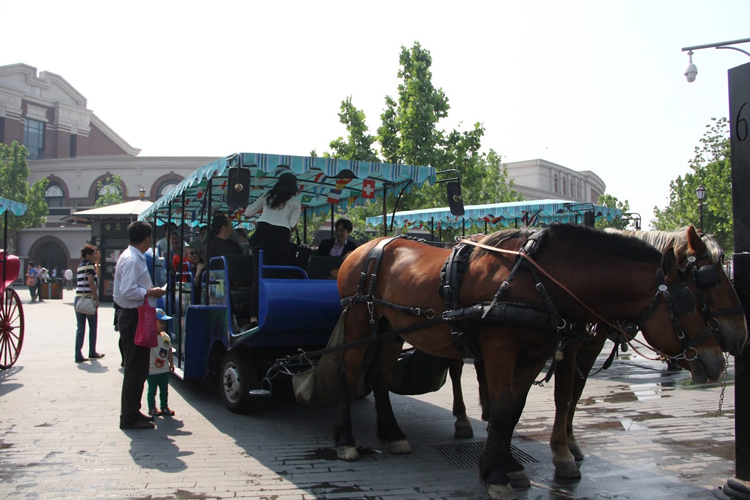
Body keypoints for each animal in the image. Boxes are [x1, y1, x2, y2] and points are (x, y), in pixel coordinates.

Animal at [334, 226, 728, 500]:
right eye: (692, 302)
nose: (718, 362)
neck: (539, 282)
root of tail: (367, 247)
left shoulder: (535, 355)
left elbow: (515, 409)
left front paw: (506, 465)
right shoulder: (499, 349)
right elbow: (502, 408)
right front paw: (495, 475)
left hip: (389, 329)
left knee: (380, 377)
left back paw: (393, 434)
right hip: (358, 321)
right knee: (349, 375)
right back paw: (346, 441)